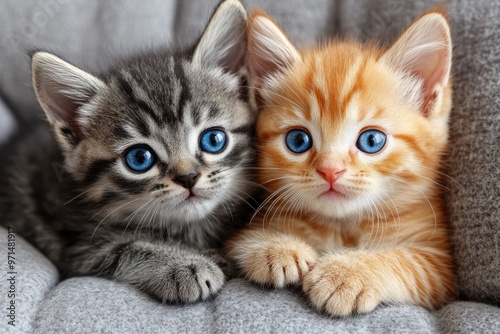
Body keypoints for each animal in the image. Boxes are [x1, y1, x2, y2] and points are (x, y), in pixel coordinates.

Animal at [0, 0, 256, 302]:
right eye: (139, 158)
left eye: (213, 140)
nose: (188, 177)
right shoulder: (76, 245)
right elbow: (125, 248)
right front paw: (185, 264)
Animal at [227, 9, 458, 316]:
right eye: (298, 140)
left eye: (372, 140)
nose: (330, 170)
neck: (344, 227)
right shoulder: (234, 236)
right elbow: (242, 239)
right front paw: (275, 248)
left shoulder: (438, 264)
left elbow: (403, 261)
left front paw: (347, 273)